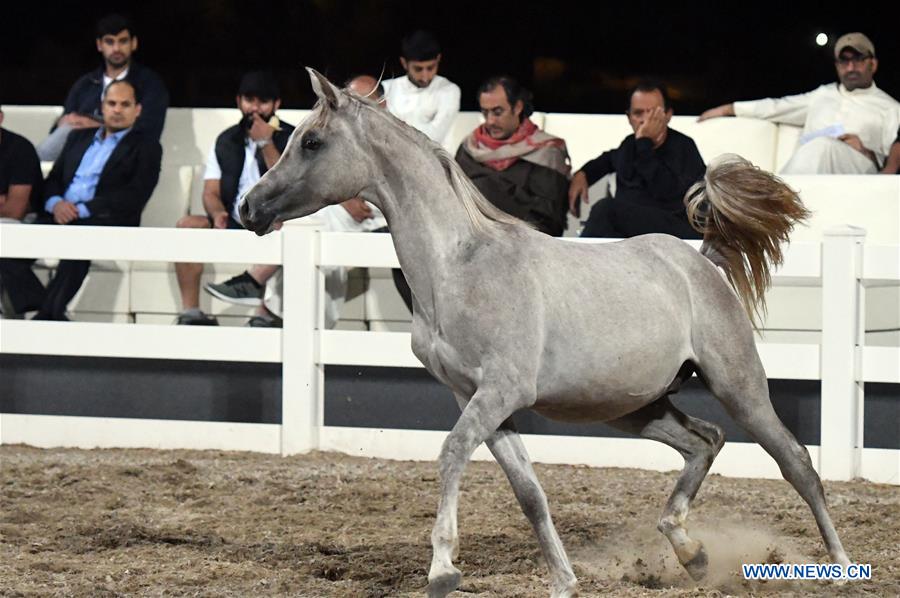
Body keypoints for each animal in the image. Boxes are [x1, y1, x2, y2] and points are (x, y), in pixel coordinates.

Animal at [239, 71, 844, 598]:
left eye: (311, 141)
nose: (249, 206)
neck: (457, 268)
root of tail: (701, 261)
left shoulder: (500, 392)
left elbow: (451, 453)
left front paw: (442, 570)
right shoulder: (478, 399)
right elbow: (529, 492)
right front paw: (563, 582)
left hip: (739, 386)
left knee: (796, 462)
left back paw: (837, 565)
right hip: (634, 407)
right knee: (706, 441)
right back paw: (690, 553)